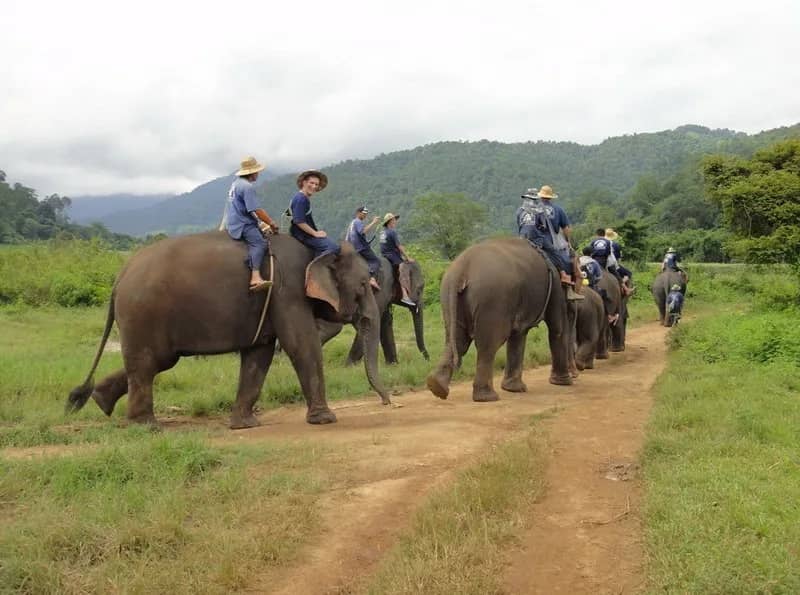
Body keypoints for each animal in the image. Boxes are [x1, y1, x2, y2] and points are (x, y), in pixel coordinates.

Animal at [66, 232, 389, 429]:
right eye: (363, 284)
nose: (388, 402)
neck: (317, 247)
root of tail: (119, 277)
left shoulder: (270, 302)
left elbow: (259, 354)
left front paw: (244, 425)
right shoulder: (287, 291)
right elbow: (301, 344)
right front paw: (326, 419)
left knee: (152, 362)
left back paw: (101, 401)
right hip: (143, 313)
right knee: (150, 363)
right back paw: (147, 426)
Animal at [426, 237, 572, 403]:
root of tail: (461, 270)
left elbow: (519, 334)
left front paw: (513, 389)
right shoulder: (555, 282)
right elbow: (557, 328)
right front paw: (564, 383)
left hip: (449, 296)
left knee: (456, 341)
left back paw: (437, 386)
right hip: (493, 300)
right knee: (488, 344)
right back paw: (487, 397)